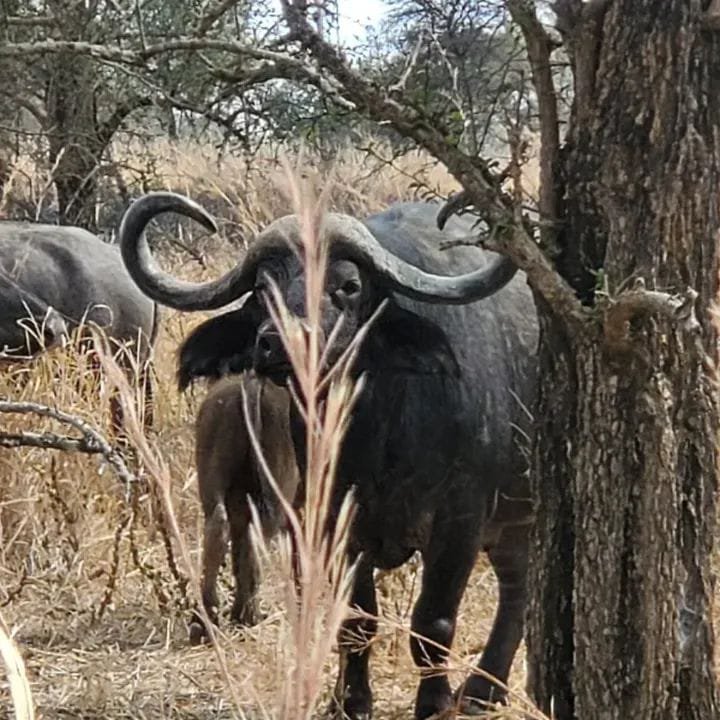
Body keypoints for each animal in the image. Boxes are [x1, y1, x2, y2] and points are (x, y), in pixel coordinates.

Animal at [188, 372, 300, 645]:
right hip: (276, 496)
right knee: (255, 542)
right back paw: (249, 615)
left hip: (213, 483)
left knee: (217, 532)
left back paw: (205, 621)